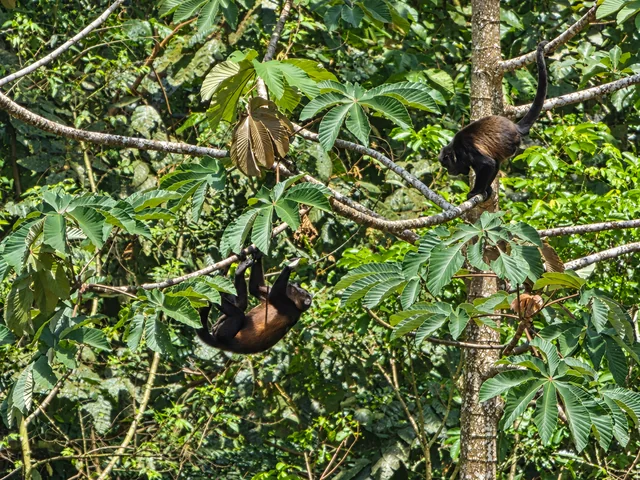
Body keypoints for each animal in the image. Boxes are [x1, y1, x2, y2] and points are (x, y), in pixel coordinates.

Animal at [439, 41, 548, 200]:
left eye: (446, 165)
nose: (448, 172)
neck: (455, 151)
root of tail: (515, 127)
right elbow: (493, 164)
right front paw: (487, 190)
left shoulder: (465, 149)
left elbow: (488, 164)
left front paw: (476, 191)